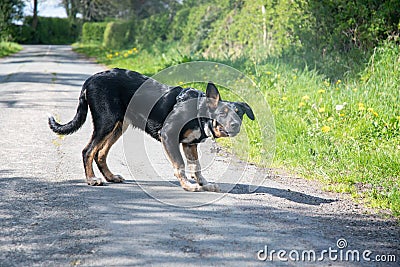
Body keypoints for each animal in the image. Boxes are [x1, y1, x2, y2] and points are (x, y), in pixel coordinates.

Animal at [48, 68, 255, 192]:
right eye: (223, 113)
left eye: (239, 113)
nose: (235, 125)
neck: (199, 110)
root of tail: (91, 78)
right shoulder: (169, 136)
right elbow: (180, 165)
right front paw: (188, 186)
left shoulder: (190, 144)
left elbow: (196, 167)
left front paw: (204, 184)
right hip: (106, 122)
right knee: (88, 150)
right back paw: (92, 179)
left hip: (118, 126)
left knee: (100, 153)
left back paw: (110, 177)